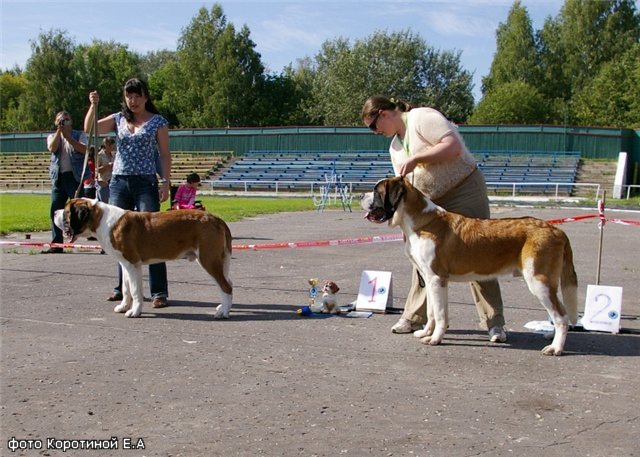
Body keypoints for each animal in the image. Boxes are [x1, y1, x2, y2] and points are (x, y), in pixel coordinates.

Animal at [55, 198, 234, 318]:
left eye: (66, 212)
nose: (55, 212)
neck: (100, 220)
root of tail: (216, 218)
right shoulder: (125, 264)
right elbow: (126, 288)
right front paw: (123, 307)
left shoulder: (133, 264)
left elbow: (135, 290)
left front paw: (134, 311)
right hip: (217, 260)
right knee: (227, 283)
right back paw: (222, 308)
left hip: (208, 259)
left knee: (225, 286)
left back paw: (223, 313)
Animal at [360, 176, 580, 354]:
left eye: (376, 191)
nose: (361, 195)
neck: (421, 222)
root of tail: (556, 230)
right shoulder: (429, 279)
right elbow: (431, 312)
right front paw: (425, 333)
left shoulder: (437, 279)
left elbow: (440, 314)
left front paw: (435, 339)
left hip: (539, 282)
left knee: (561, 317)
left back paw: (555, 348)